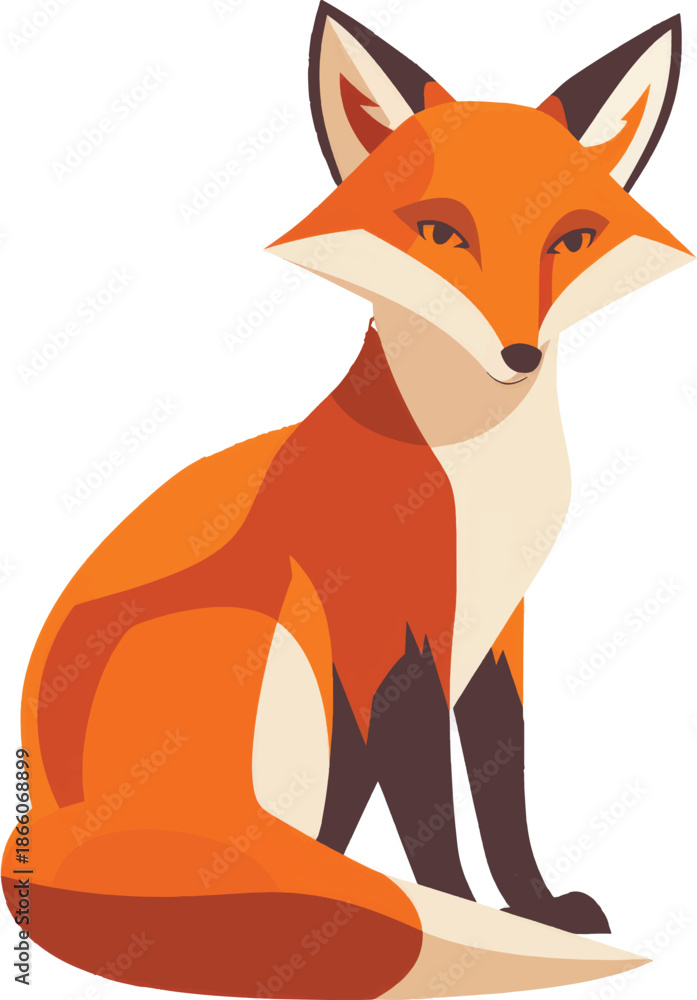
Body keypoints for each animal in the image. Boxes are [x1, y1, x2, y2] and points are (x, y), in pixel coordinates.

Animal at [3, 4, 693, 998]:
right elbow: (429, 809)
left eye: (570, 239)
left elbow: (502, 787)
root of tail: (43, 837)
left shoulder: (496, 625)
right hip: (277, 639)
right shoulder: (380, 629)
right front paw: (463, 912)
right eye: (441, 232)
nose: (518, 355)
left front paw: (531, 907)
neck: (472, 468)